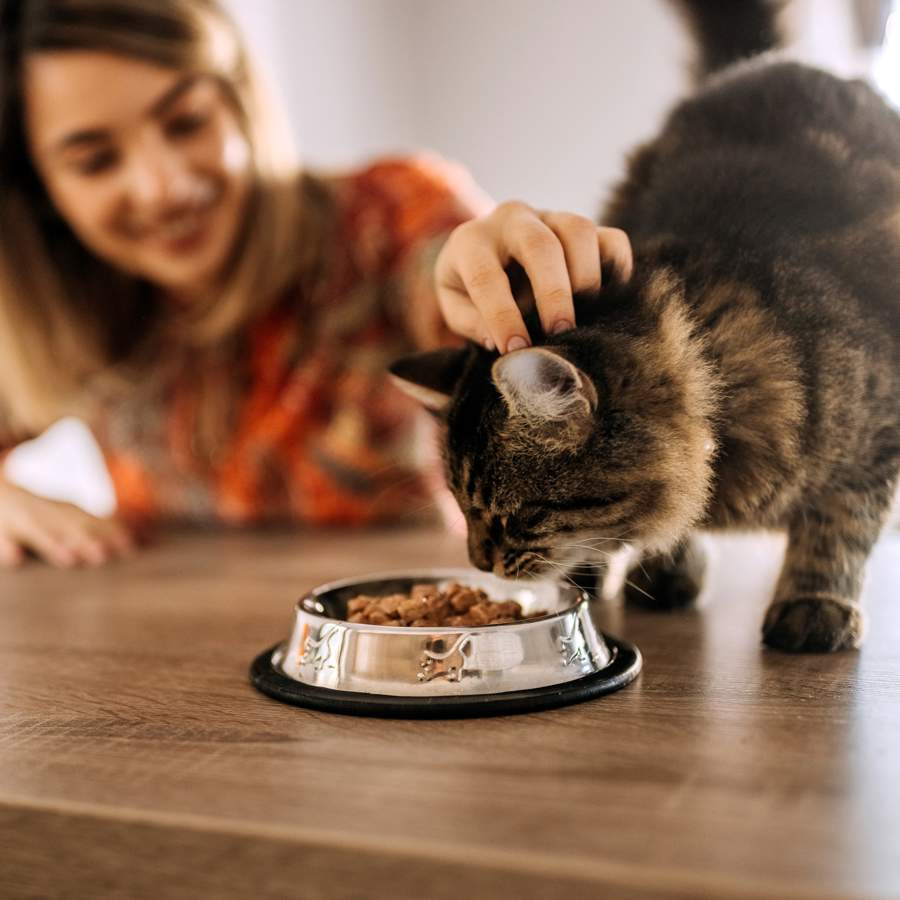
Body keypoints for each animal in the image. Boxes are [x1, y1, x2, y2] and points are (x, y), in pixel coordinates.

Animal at [388, 0, 900, 652]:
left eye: (517, 514)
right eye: (458, 503)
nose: (480, 562)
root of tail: (763, 64)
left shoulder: (875, 437)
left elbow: (838, 525)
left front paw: (814, 604)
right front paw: (668, 566)